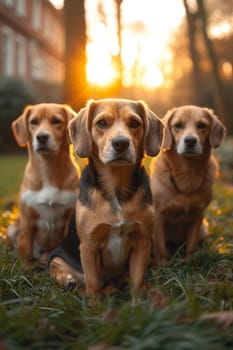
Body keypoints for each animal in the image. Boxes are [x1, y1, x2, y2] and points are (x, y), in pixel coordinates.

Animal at [6, 102, 79, 270]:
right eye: (33, 122)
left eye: (56, 121)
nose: (42, 137)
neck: (48, 168)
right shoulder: (27, 219)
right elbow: (27, 250)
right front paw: (27, 269)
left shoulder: (69, 218)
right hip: (12, 229)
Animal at [48, 98, 164, 300]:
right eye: (101, 123)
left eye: (135, 123)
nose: (121, 143)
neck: (116, 187)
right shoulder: (89, 246)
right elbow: (93, 283)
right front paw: (95, 305)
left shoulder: (142, 244)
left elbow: (137, 281)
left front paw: (138, 304)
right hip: (57, 255)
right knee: (60, 272)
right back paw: (69, 280)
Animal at [150, 105, 227, 264]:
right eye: (178, 125)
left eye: (202, 125)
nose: (190, 140)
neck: (187, 173)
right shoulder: (158, 214)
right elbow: (160, 246)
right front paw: (163, 264)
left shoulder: (198, 214)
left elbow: (191, 243)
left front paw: (189, 260)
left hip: (204, 227)